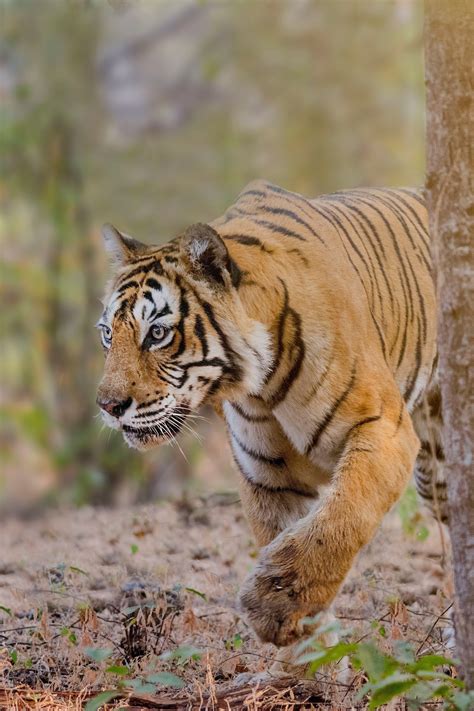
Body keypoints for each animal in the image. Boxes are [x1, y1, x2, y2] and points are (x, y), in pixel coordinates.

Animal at [96, 179, 445, 675]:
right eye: (108, 334)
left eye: (158, 334)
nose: (108, 406)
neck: (260, 385)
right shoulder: (268, 475)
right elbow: (290, 537)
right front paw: (307, 668)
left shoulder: (384, 429)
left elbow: (339, 520)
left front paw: (274, 605)